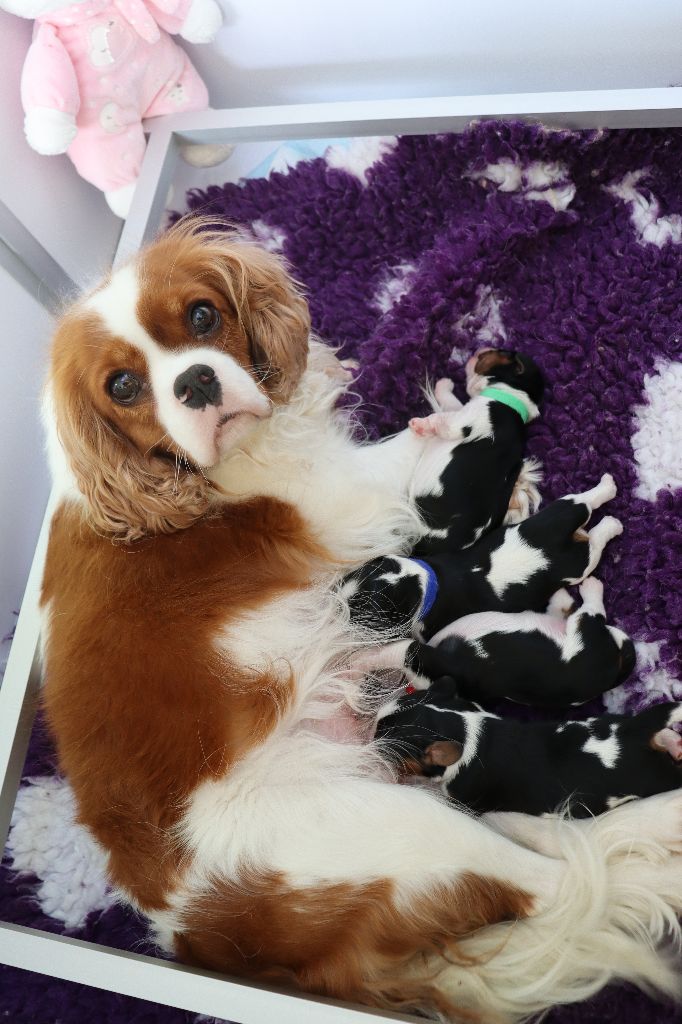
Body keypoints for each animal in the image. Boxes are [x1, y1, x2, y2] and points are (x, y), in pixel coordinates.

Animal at [374, 684, 679, 819]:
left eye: (385, 741)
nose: (369, 731)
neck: (465, 727)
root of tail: (636, 729)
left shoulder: (465, 801)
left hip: (655, 779)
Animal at [405, 346, 544, 557]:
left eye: (500, 351)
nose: (481, 348)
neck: (512, 398)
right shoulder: (461, 410)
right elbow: (451, 402)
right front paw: (444, 385)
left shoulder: (464, 421)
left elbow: (442, 421)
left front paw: (420, 424)